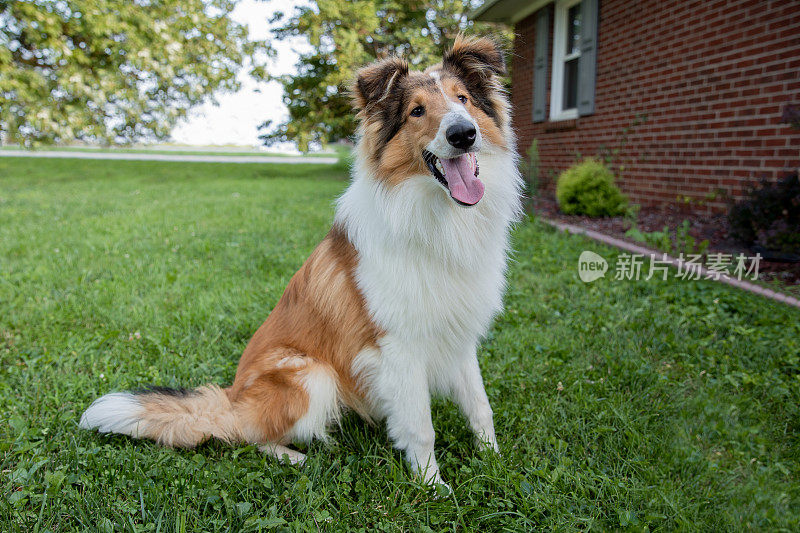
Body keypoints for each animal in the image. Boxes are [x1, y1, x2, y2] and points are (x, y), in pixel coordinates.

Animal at [78, 35, 520, 488]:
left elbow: (480, 406)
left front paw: (494, 459)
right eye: (416, 111)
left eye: (462, 99)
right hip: (312, 375)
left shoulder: (459, 334)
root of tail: (232, 396)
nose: (463, 134)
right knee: (247, 434)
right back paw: (296, 458)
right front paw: (432, 485)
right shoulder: (398, 345)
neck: (436, 216)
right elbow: (421, 427)